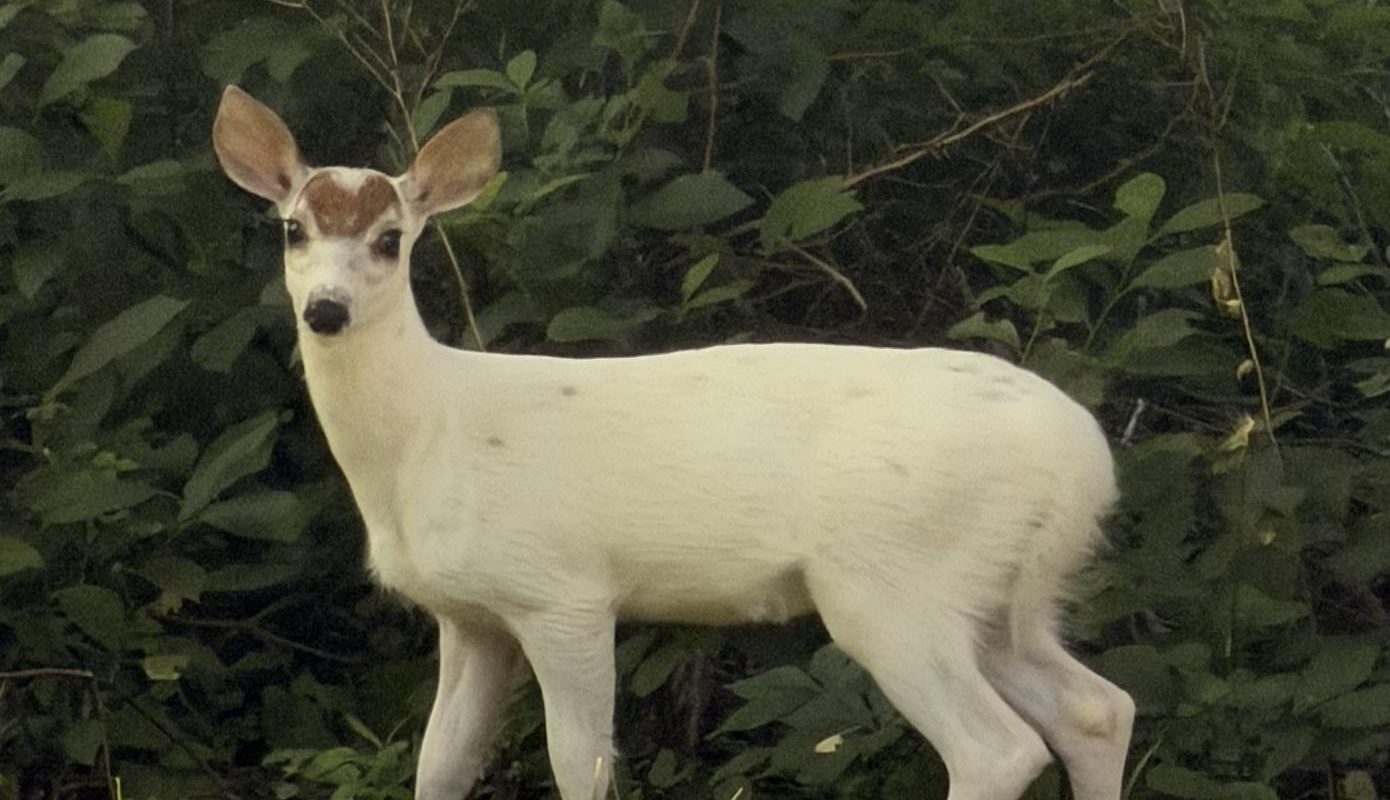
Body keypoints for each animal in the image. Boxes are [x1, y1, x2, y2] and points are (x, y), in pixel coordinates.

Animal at [211, 85, 1134, 800]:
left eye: (390, 239)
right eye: (293, 229)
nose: (326, 310)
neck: (426, 437)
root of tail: (1087, 460)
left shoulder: (563, 593)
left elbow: (579, 765)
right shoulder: (470, 615)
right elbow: (439, 767)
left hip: (896, 580)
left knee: (998, 749)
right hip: (999, 596)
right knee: (1097, 710)